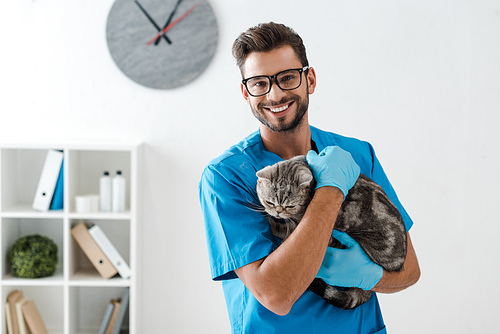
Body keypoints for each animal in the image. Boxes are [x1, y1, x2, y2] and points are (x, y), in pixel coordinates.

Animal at [256, 155, 408, 310]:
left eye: (290, 206)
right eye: (269, 202)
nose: (278, 212)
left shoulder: (303, 224)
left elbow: (285, 229)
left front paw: (272, 224)